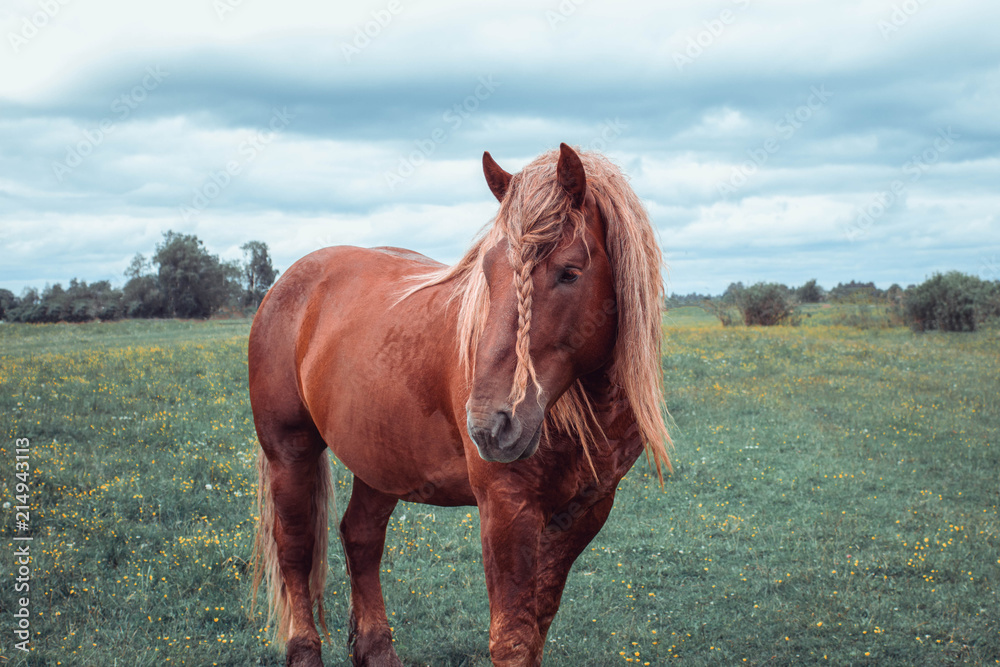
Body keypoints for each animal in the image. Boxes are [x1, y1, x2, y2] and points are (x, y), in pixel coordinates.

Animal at [249, 143, 671, 667]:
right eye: (487, 272)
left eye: (570, 272)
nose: (490, 425)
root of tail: (292, 280)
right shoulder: (506, 507)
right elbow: (512, 638)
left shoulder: (586, 510)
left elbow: (536, 628)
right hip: (289, 452)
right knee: (295, 548)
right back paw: (304, 650)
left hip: (381, 459)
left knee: (361, 538)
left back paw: (378, 651)